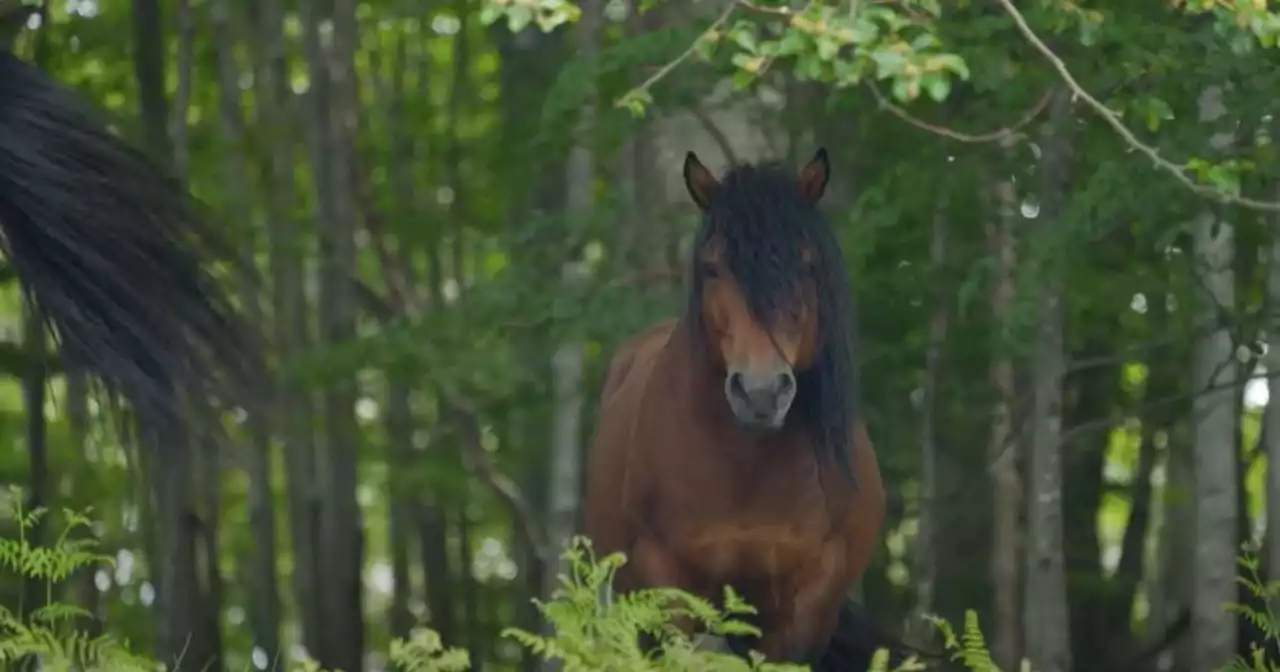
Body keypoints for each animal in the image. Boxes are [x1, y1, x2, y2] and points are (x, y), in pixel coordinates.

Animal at [586, 149, 901, 665]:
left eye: (806, 264)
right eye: (713, 267)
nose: (761, 392)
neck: (746, 470)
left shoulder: (805, 605)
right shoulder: (664, 585)